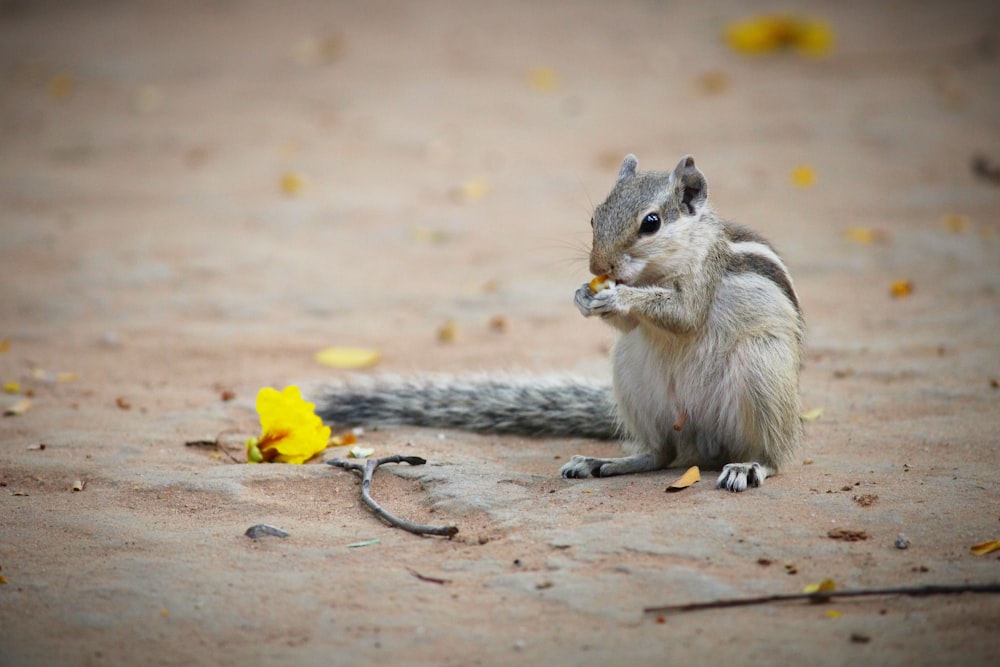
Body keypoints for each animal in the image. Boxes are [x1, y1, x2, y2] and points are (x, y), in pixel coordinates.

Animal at [320, 155, 804, 490]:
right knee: (661, 454)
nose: (597, 266)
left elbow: (685, 316)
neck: (659, 269)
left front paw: (618, 295)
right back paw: (604, 462)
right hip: (634, 379)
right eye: (594, 216)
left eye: (651, 222)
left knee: (774, 454)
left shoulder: (704, 277)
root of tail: (705, 445)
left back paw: (748, 465)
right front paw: (583, 297)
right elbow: (631, 324)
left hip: (761, 370)